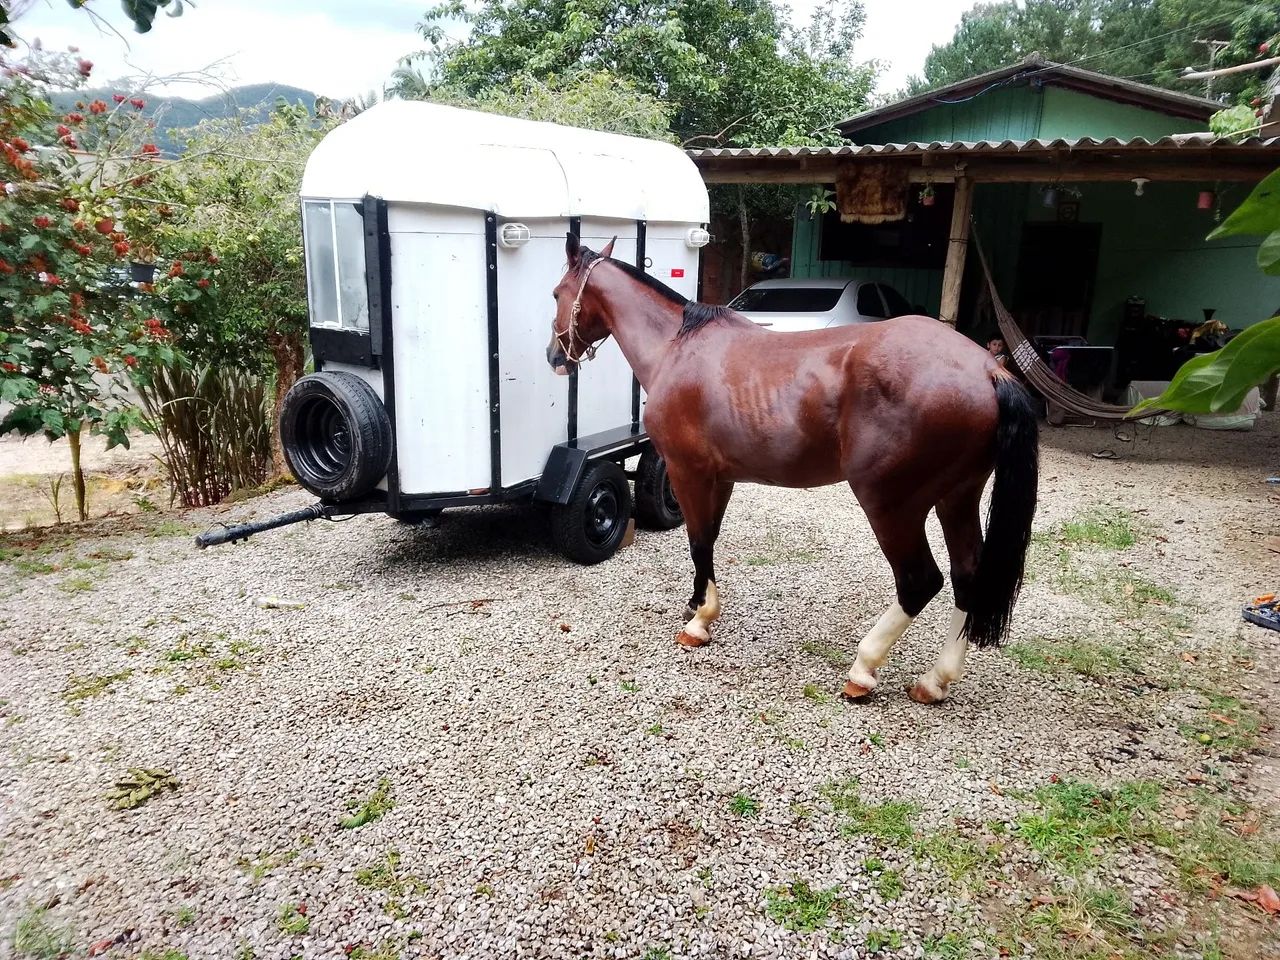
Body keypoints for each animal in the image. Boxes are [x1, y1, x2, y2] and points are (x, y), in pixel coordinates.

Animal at [547, 235, 1038, 703]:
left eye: (556, 293)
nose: (554, 356)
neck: (677, 346)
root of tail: (988, 370)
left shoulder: (688, 473)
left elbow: (697, 541)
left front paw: (698, 622)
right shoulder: (721, 478)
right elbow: (709, 540)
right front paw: (698, 604)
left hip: (891, 505)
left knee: (920, 582)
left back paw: (863, 669)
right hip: (956, 499)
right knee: (967, 576)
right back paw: (935, 681)